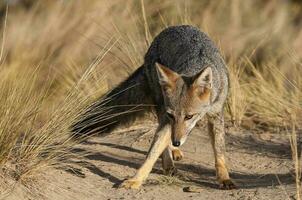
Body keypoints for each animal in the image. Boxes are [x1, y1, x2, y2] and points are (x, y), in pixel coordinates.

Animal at [73, 24, 236, 189]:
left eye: (189, 116)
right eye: (172, 115)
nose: (176, 141)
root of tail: (173, 27)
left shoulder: (216, 115)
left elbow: (219, 151)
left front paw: (224, 178)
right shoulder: (167, 119)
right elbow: (152, 152)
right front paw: (136, 179)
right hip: (160, 106)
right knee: (162, 143)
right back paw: (169, 163)